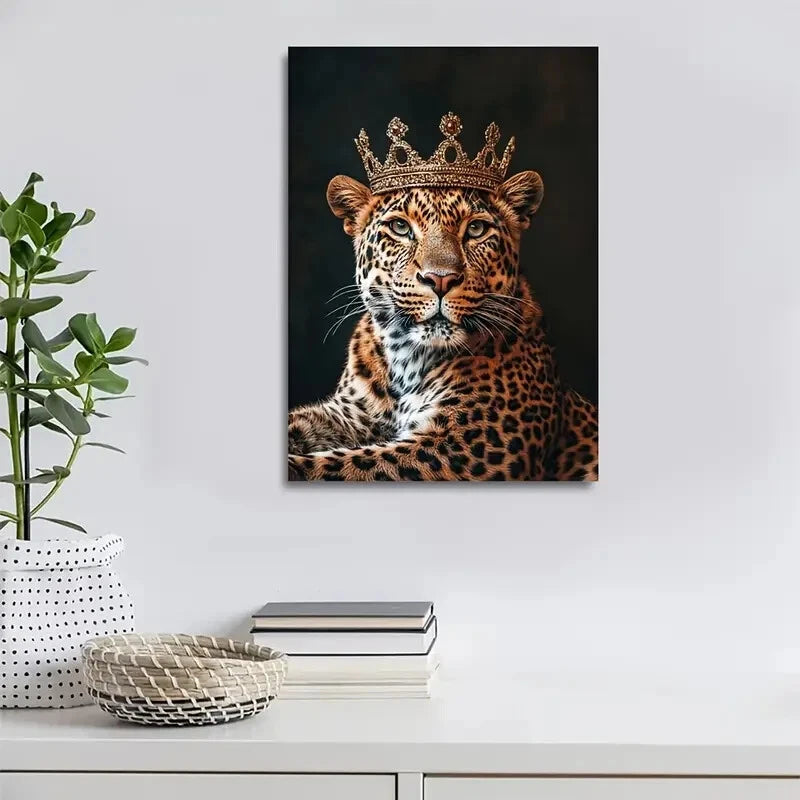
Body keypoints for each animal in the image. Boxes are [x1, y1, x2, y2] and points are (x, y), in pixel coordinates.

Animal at [287, 168, 598, 481]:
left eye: (476, 229)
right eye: (400, 227)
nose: (440, 279)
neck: (406, 360)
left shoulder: (467, 446)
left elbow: (346, 465)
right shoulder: (348, 416)